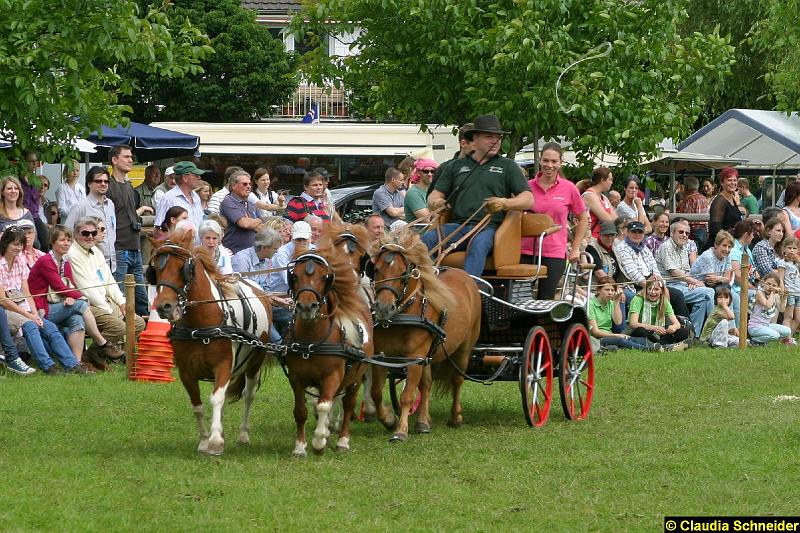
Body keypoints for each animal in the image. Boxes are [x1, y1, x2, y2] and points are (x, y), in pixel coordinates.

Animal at [148, 231, 274, 456]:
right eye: (156, 269)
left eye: (183, 268)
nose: (164, 307)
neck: (200, 323)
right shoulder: (186, 372)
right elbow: (197, 405)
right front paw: (205, 440)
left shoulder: (223, 365)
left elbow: (216, 398)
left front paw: (215, 442)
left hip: (254, 363)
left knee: (248, 395)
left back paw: (243, 435)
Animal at [288, 231, 376, 456]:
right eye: (295, 276)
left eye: (323, 277)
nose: (306, 307)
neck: (311, 340)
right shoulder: (296, 378)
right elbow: (301, 410)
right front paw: (300, 446)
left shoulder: (333, 376)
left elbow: (324, 405)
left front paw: (319, 441)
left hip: (355, 376)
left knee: (347, 403)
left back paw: (342, 440)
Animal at [368, 229, 482, 440]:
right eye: (376, 269)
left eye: (402, 272)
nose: (383, 308)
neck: (402, 316)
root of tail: (464, 274)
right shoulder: (381, 357)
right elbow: (376, 392)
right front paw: (389, 419)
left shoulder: (414, 358)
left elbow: (407, 395)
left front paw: (400, 431)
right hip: (428, 355)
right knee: (427, 384)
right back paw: (423, 421)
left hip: (464, 348)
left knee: (457, 380)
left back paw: (455, 417)